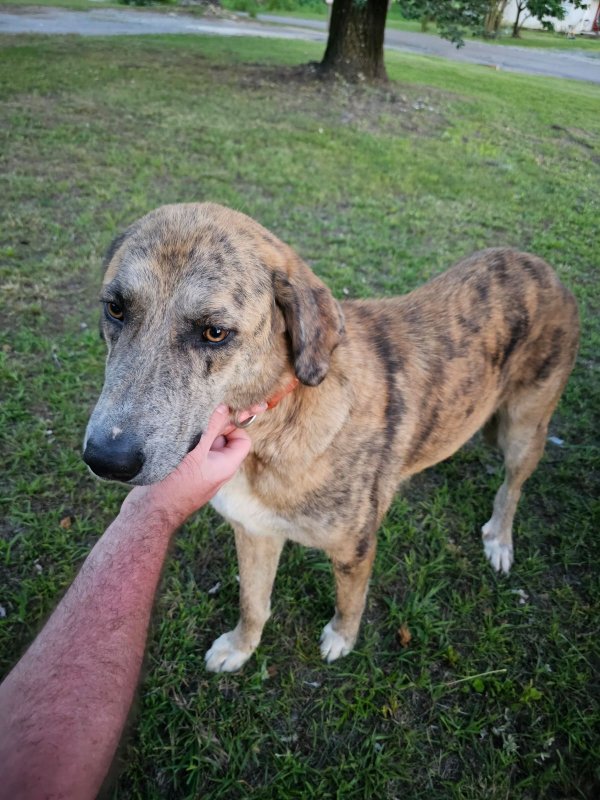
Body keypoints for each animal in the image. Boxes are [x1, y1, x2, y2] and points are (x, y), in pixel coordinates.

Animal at [83, 203, 576, 672]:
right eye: (116, 308)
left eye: (214, 332)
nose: (106, 459)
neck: (272, 424)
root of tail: (542, 266)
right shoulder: (254, 531)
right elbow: (253, 603)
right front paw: (241, 647)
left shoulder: (354, 549)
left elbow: (350, 602)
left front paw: (342, 638)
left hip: (522, 430)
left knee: (513, 487)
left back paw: (499, 539)